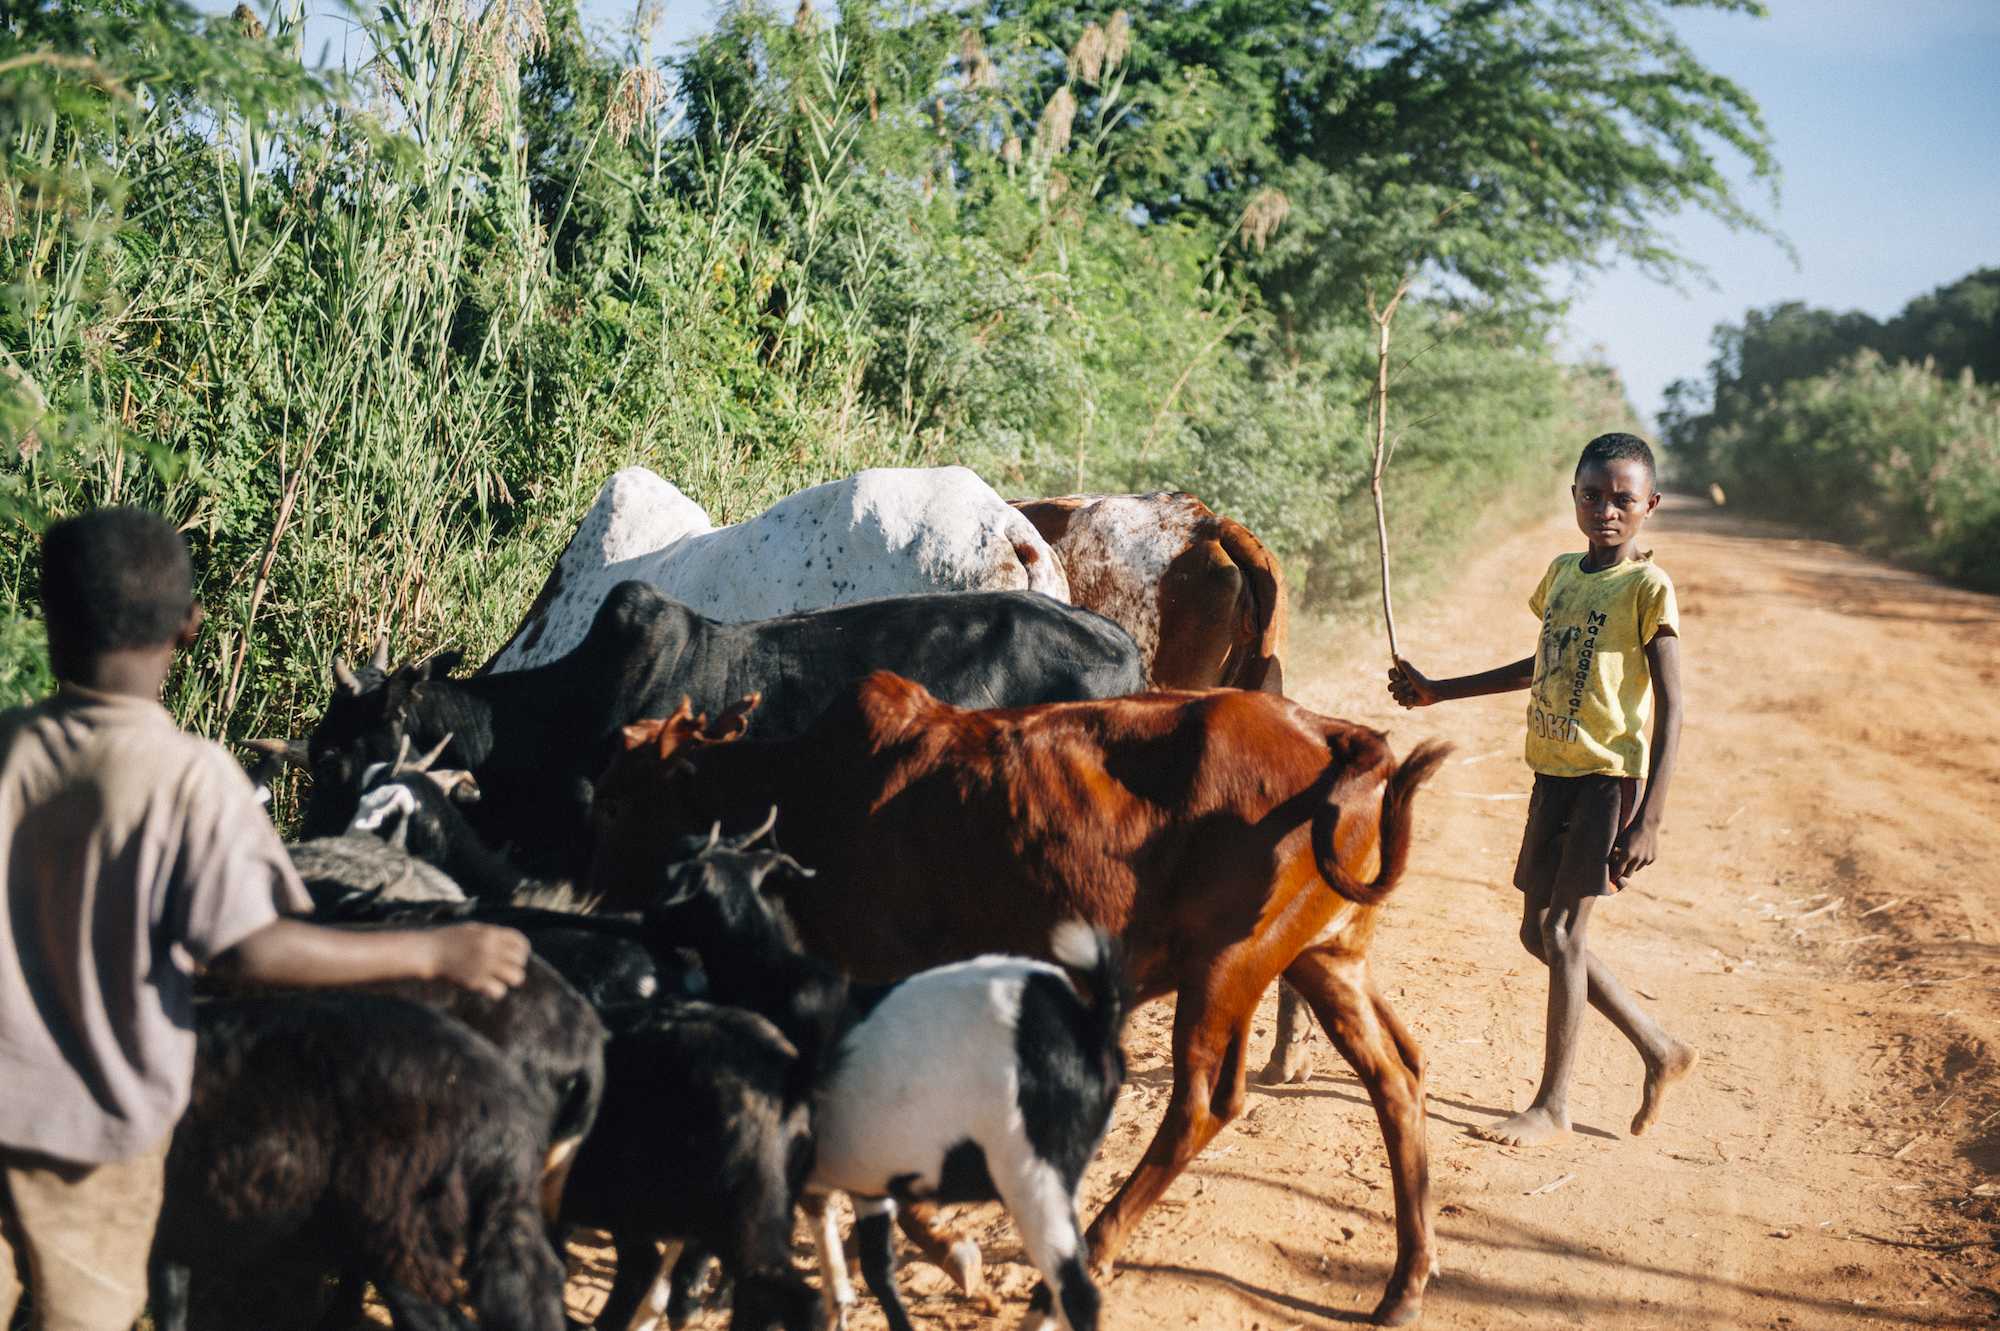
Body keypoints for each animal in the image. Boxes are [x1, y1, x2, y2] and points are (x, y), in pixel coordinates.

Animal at [648, 831, 1136, 1327]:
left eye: (675, 880)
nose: (644, 920)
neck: (776, 986)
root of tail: (1090, 1024)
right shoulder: (867, 1185)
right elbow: (879, 1271)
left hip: (1032, 1175)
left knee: (1077, 1292)